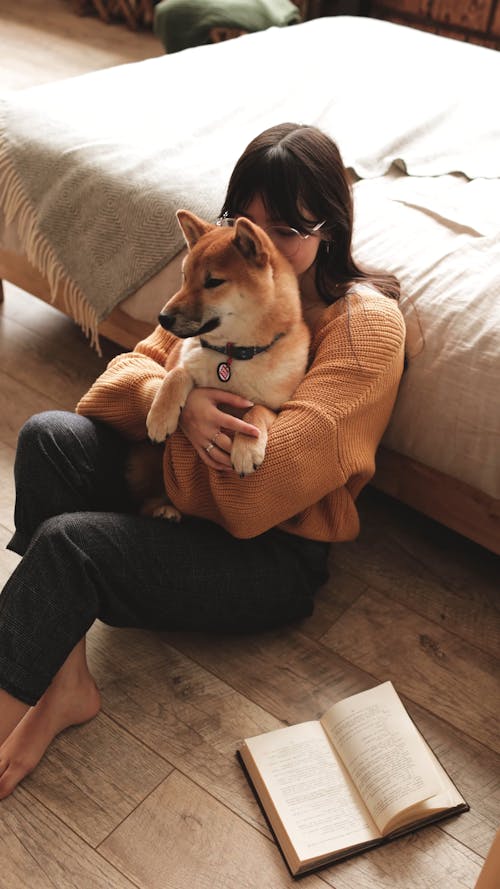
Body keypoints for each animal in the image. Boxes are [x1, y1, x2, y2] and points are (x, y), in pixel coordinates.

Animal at [127, 206, 310, 520]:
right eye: (184, 277)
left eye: (213, 282)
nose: (162, 318)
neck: (232, 355)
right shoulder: (186, 361)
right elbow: (176, 374)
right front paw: (161, 416)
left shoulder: (277, 407)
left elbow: (256, 411)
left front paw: (246, 448)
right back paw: (163, 509)